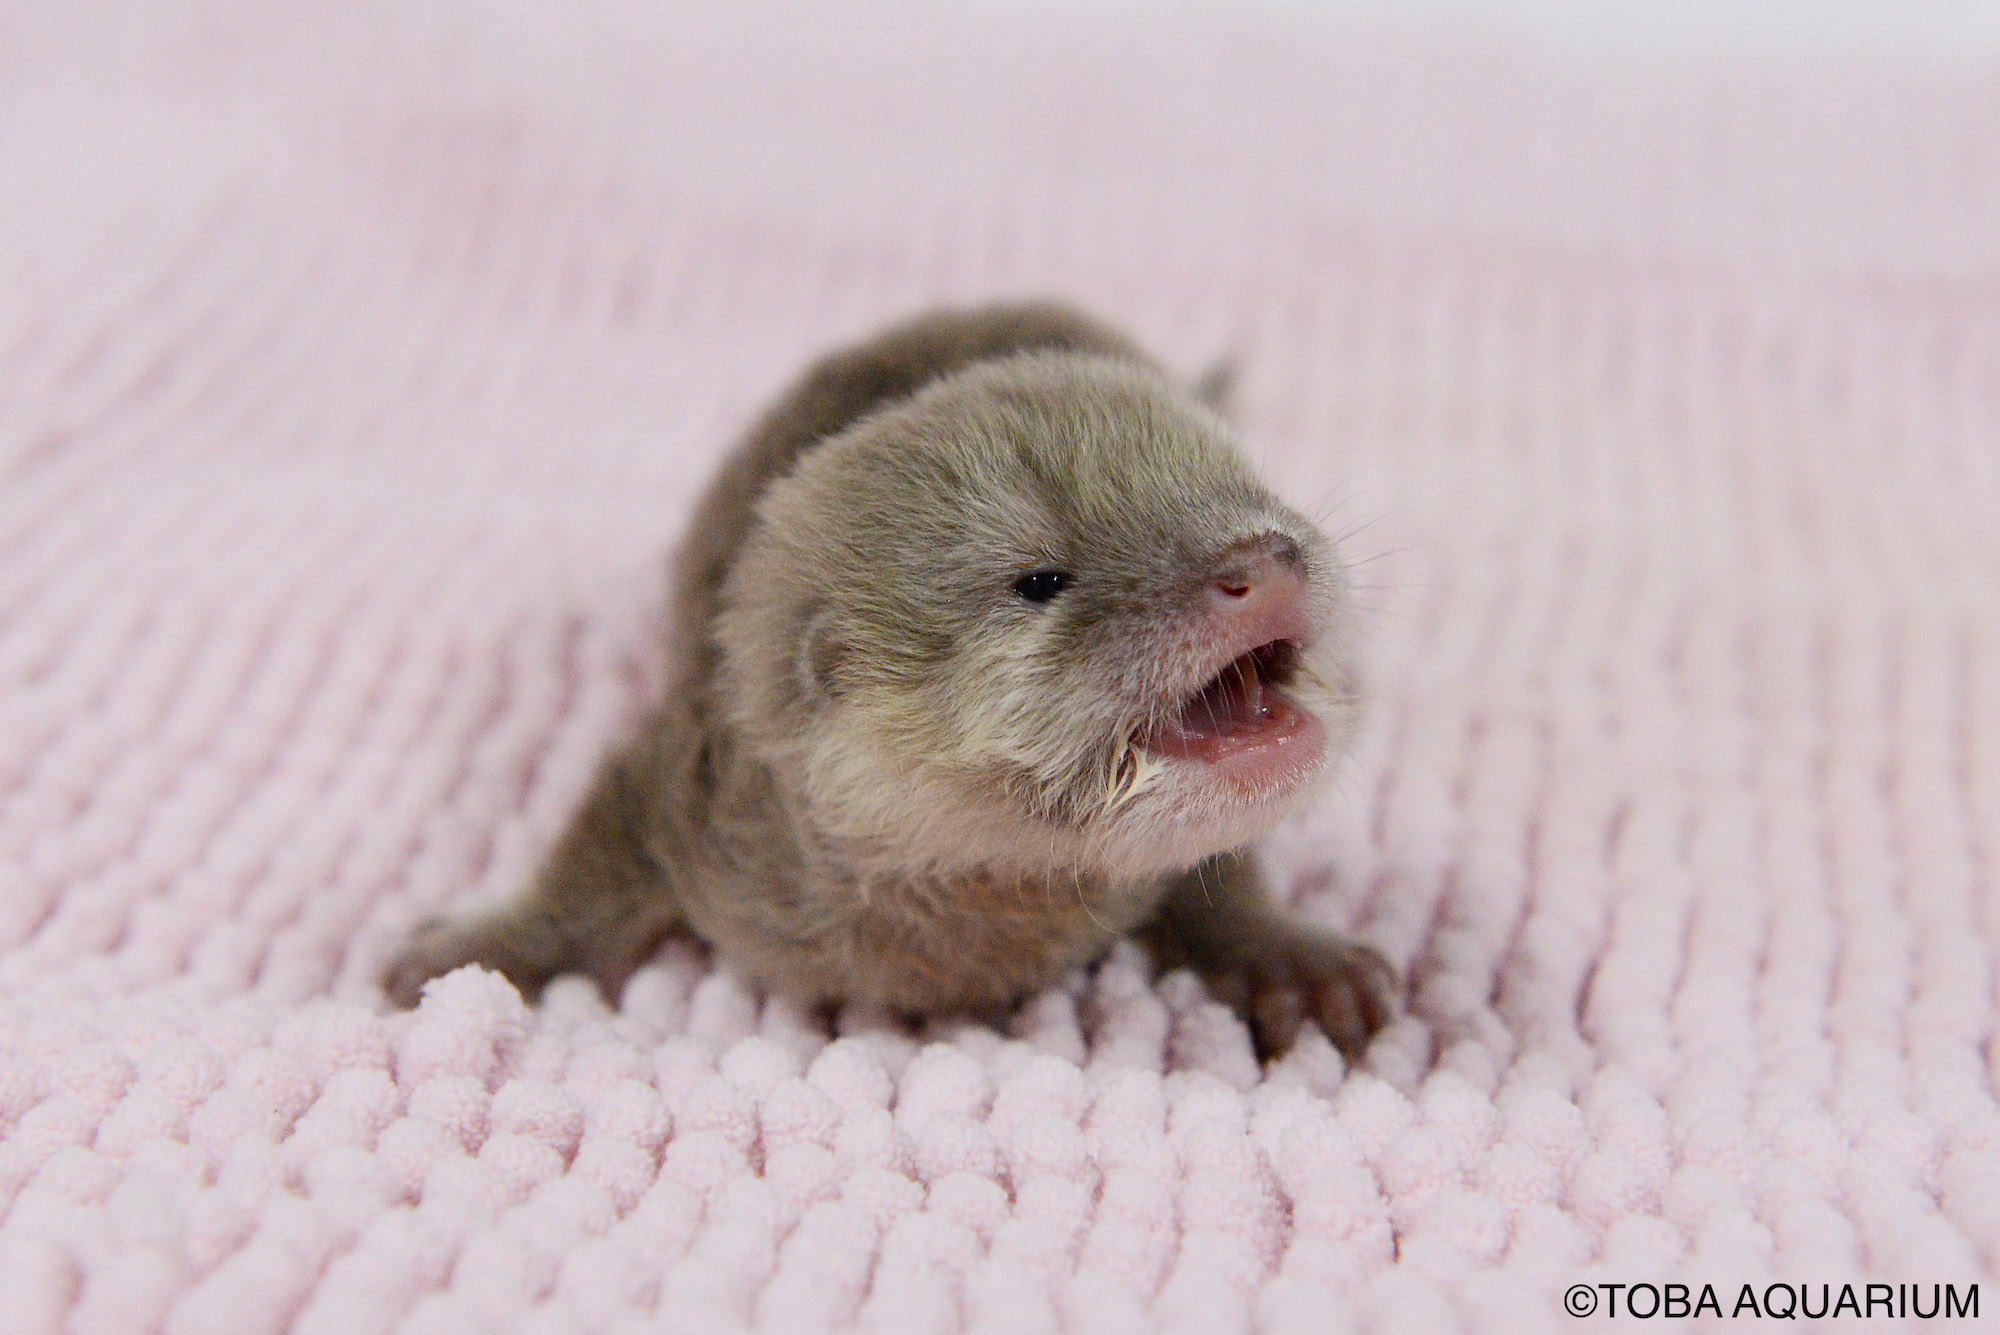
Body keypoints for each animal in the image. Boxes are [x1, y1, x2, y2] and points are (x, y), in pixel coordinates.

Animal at [382, 299, 1400, 1055]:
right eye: (1041, 579)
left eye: (1249, 490)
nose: (1264, 557)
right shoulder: (689, 783)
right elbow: (587, 861)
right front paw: (479, 950)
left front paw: (1286, 956)